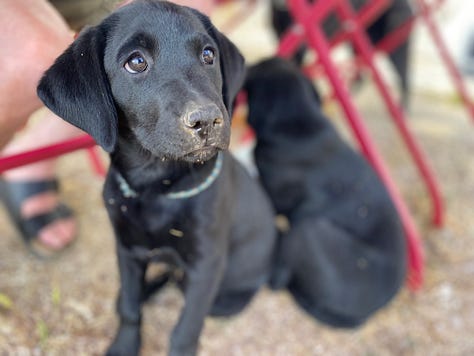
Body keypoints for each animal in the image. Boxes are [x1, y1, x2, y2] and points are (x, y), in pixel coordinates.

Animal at [39, 1, 276, 354]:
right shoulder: (127, 249)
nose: (207, 120)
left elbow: (186, 329)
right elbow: (130, 307)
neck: (157, 189)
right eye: (136, 62)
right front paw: (124, 344)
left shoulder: (206, 263)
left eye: (208, 55)